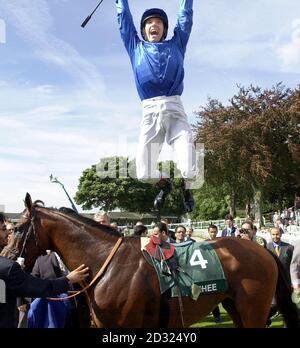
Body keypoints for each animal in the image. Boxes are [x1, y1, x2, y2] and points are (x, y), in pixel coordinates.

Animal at [2, 194, 300, 328]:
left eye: (18, 228)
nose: (6, 258)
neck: (104, 262)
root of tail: (263, 249)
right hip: (235, 307)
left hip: (253, 309)